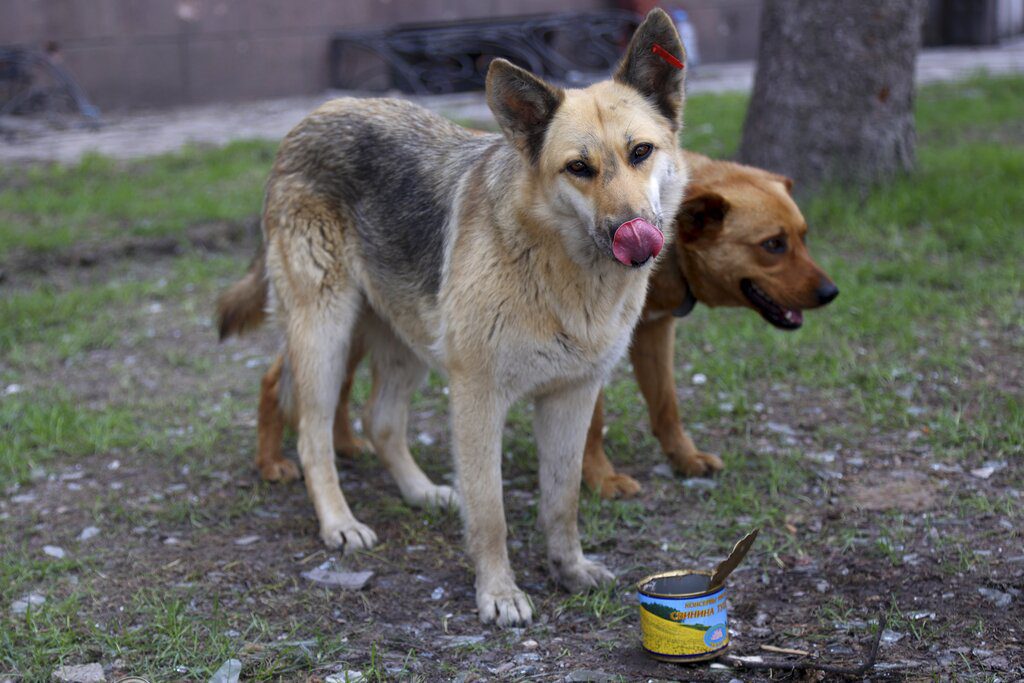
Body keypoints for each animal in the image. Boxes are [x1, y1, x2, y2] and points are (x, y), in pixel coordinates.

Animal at [220, 12, 692, 630]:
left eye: (641, 152)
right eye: (578, 169)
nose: (634, 235)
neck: (558, 268)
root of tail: (311, 118)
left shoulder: (572, 396)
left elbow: (562, 501)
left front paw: (568, 569)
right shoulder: (477, 398)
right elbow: (490, 510)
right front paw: (498, 592)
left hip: (403, 340)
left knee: (380, 420)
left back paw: (420, 492)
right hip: (325, 336)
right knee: (314, 434)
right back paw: (339, 522)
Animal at [230, 152, 831, 499]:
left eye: (804, 236)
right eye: (772, 245)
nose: (831, 293)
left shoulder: (654, 334)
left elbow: (666, 406)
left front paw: (683, 458)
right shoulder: (591, 349)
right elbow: (592, 426)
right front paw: (599, 478)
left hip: (371, 321)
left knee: (334, 388)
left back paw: (347, 442)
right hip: (337, 315)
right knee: (277, 380)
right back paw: (272, 462)